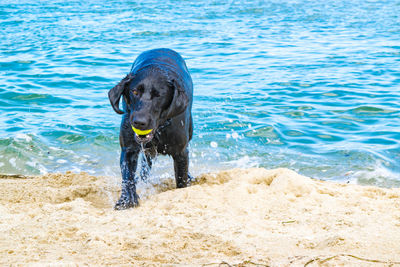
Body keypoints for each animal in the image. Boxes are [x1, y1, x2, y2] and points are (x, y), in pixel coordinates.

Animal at [107, 48, 193, 211]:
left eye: (159, 95)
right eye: (134, 92)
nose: (139, 122)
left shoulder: (181, 153)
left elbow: (181, 180)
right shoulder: (129, 149)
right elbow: (128, 178)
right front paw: (126, 200)